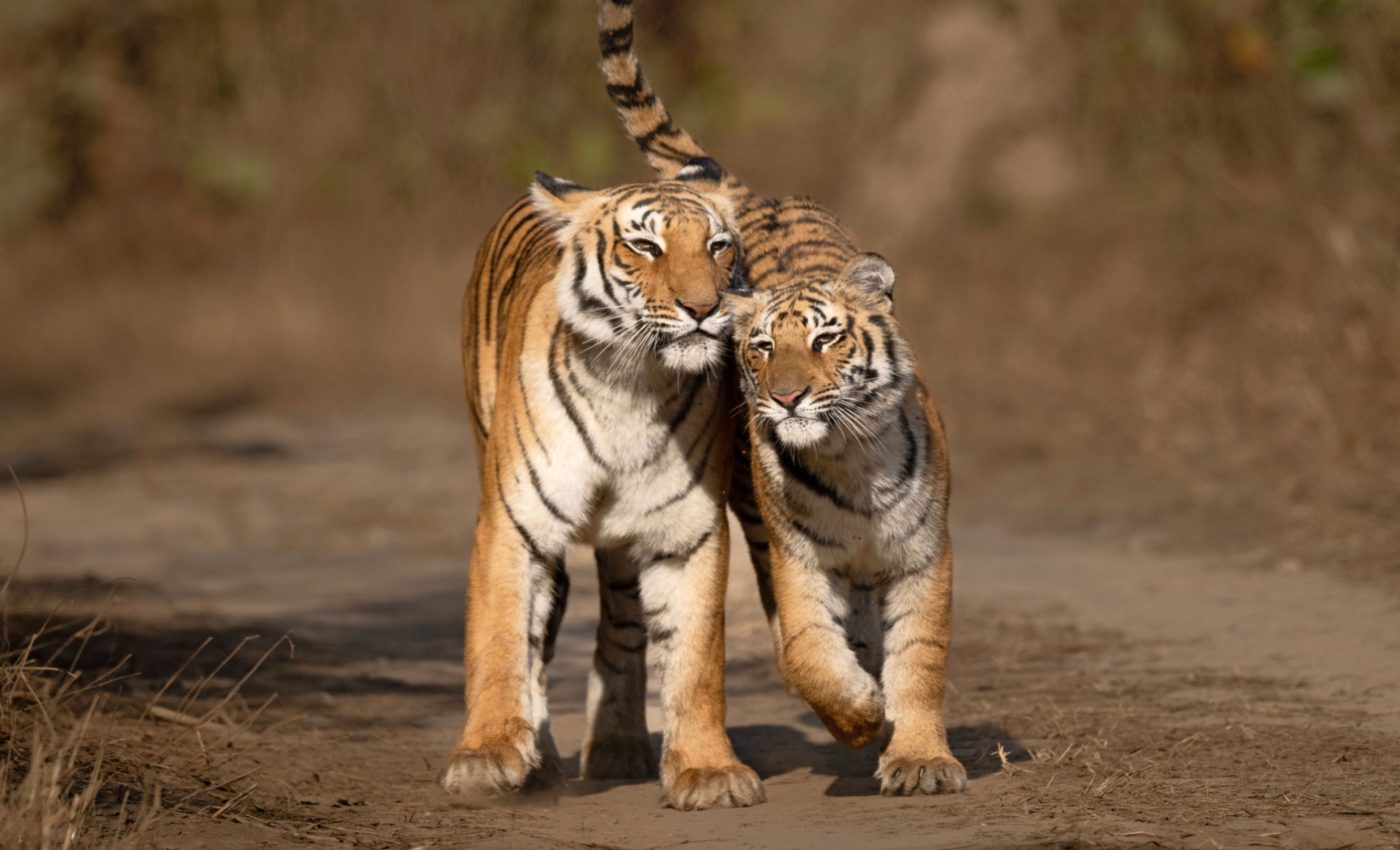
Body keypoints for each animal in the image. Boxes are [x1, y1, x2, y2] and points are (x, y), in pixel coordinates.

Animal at [439, 167, 766, 811]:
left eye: (717, 246)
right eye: (646, 246)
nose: (704, 307)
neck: (632, 384)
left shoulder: (687, 532)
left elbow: (695, 660)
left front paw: (708, 771)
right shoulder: (513, 524)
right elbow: (500, 642)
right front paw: (486, 758)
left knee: (622, 626)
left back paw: (617, 746)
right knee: (538, 639)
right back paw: (539, 764)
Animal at [596, 0, 968, 795]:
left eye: (826, 340)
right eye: (763, 348)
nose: (789, 398)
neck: (850, 462)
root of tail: (755, 197)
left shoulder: (924, 557)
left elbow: (920, 660)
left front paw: (921, 760)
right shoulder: (797, 556)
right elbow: (804, 648)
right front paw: (858, 714)